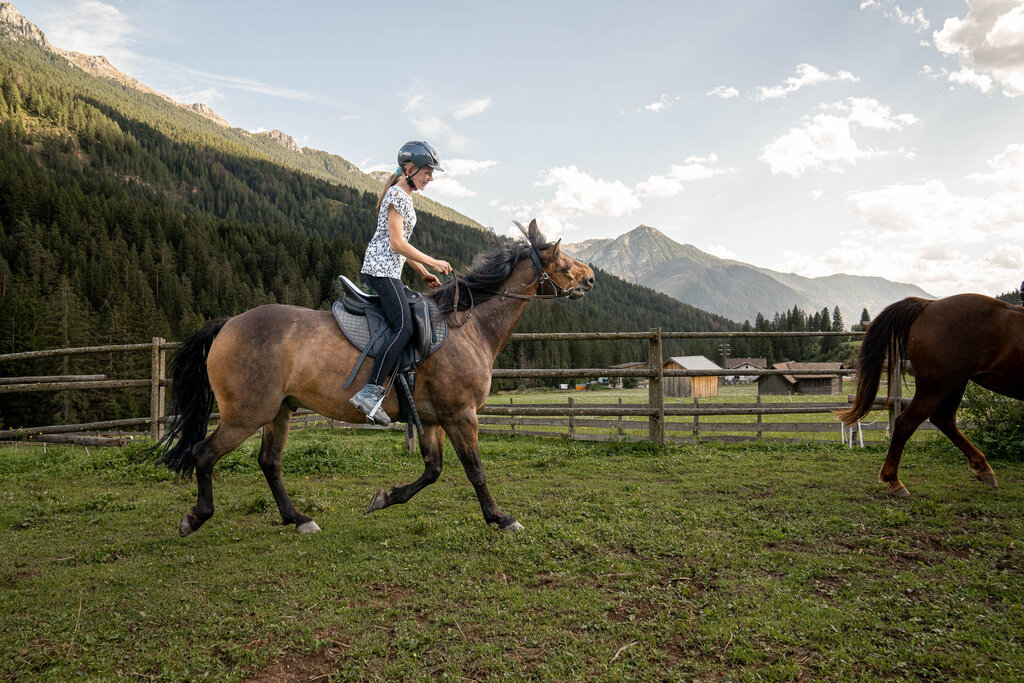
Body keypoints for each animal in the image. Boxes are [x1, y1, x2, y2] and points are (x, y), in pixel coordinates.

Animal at [153, 220, 595, 535]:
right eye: (563, 260)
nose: (591, 277)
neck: (467, 327)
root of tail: (229, 324)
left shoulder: (432, 418)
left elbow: (433, 470)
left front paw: (384, 497)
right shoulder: (460, 415)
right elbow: (475, 470)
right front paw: (501, 518)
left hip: (279, 411)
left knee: (269, 462)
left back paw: (298, 518)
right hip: (247, 413)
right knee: (203, 454)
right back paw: (196, 518)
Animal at [838, 293, 1024, 497]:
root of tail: (929, 304)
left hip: (955, 384)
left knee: (943, 419)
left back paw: (983, 469)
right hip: (937, 386)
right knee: (907, 422)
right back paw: (894, 481)